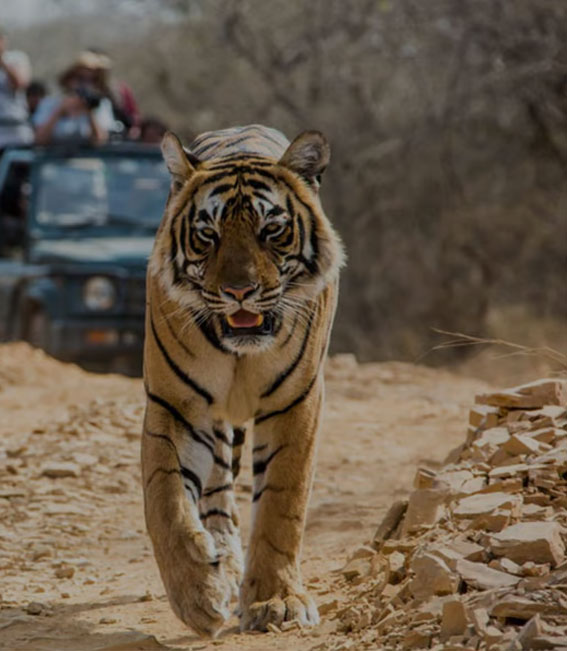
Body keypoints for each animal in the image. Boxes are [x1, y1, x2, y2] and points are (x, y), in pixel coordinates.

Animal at [142, 122, 346, 636]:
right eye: (207, 235)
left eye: (271, 230)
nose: (239, 291)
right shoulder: (175, 405)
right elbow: (166, 501)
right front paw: (197, 594)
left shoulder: (296, 403)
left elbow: (281, 506)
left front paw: (277, 602)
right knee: (215, 493)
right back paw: (223, 562)